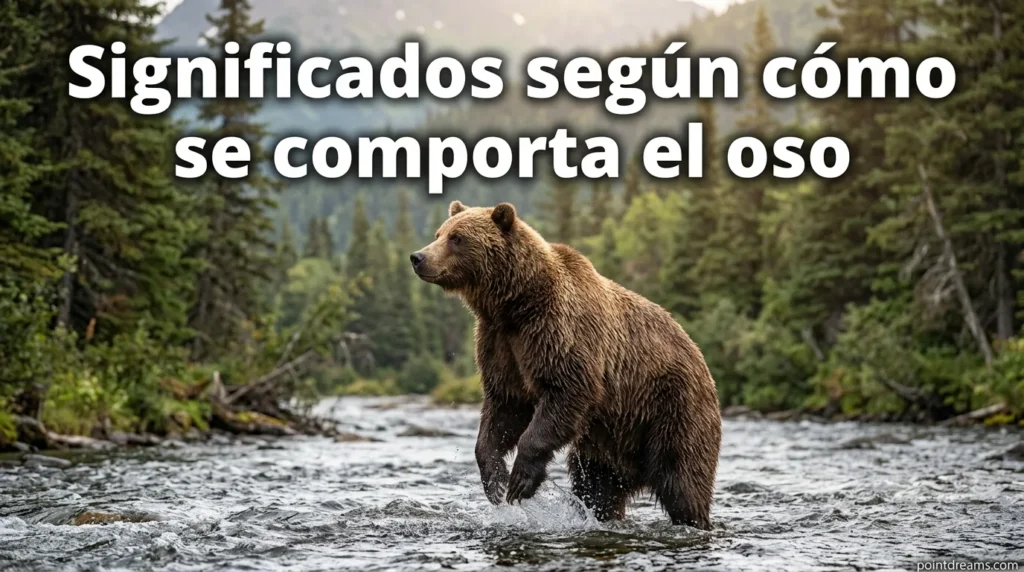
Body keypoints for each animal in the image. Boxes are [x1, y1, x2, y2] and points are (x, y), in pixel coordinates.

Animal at [410, 201, 721, 529]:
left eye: (457, 238)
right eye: (439, 233)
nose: (418, 257)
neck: (514, 304)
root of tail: (700, 357)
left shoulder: (557, 330)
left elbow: (566, 390)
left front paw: (520, 481)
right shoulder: (499, 343)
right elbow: (504, 407)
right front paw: (494, 478)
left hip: (671, 409)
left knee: (682, 480)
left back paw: (692, 518)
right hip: (609, 443)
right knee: (598, 487)